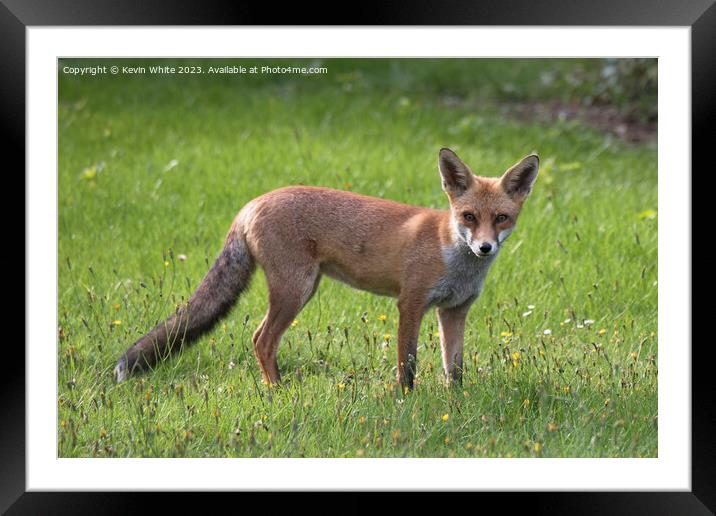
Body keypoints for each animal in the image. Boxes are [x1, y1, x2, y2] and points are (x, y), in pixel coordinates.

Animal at [113, 147, 536, 390]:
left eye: (501, 218)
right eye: (468, 216)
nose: (483, 247)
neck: (454, 257)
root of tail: (251, 203)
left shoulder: (454, 311)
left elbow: (455, 369)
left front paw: (455, 403)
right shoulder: (411, 303)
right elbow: (408, 365)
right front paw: (408, 403)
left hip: (304, 287)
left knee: (259, 338)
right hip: (295, 290)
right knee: (261, 339)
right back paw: (278, 392)